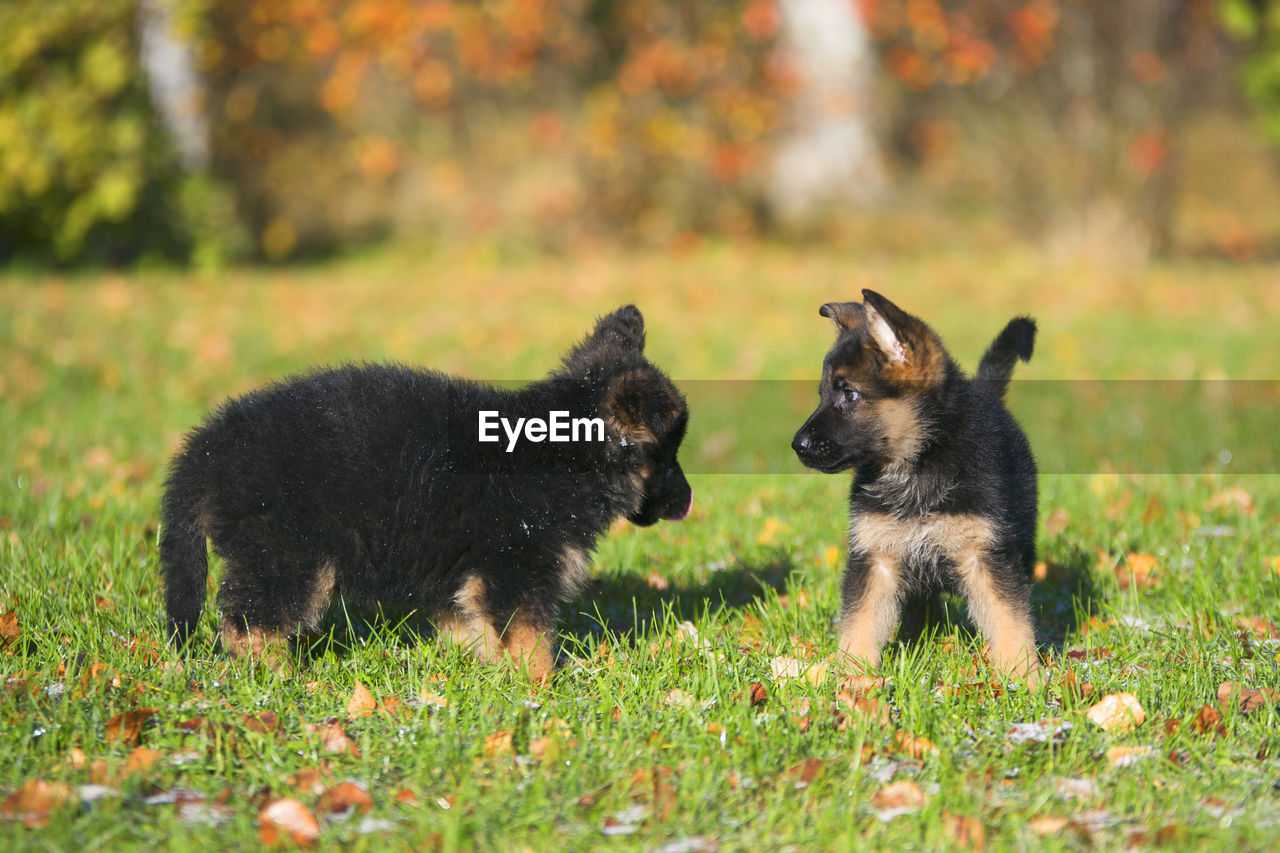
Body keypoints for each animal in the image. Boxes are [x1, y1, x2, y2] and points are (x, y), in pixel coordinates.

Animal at [167, 306, 701, 676]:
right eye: (667, 457)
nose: (691, 500)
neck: (563, 456)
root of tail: (205, 451)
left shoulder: (461, 570)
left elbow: (473, 627)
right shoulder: (516, 566)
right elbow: (530, 638)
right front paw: (543, 688)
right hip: (290, 555)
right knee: (247, 621)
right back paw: (278, 675)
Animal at [788, 292, 1039, 686]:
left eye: (849, 395)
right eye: (823, 394)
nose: (797, 445)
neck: (916, 467)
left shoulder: (985, 554)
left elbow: (1009, 618)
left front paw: (1025, 678)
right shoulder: (876, 558)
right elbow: (860, 623)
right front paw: (852, 679)